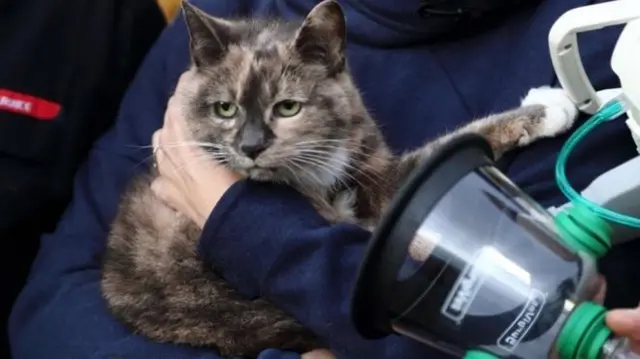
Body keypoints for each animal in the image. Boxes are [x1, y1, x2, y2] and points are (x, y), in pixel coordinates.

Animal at [99, 1, 580, 358]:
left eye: (288, 107)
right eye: (225, 109)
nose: (251, 146)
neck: (319, 170)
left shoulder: (377, 175)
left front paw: (544, 110)